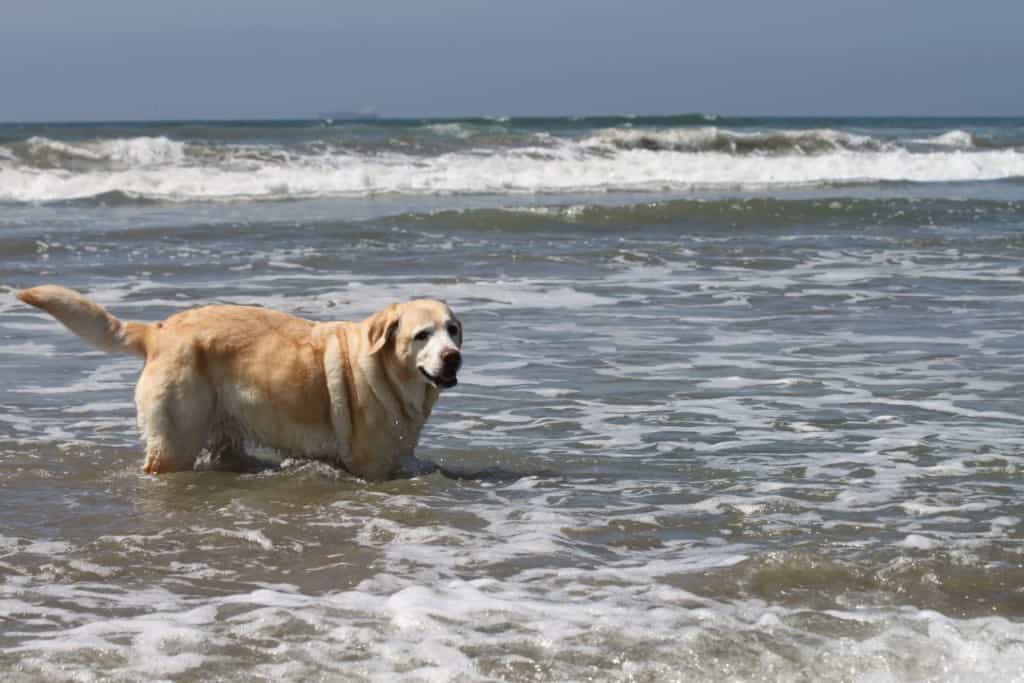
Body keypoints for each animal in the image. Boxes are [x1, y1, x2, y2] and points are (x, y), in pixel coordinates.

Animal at [18, 286, 464, 483]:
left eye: (453, 330)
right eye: (422, 335)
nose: (453, 356)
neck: (389, 376)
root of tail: (157, 331)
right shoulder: (371, 467)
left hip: (223, 436)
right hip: (175, 442)